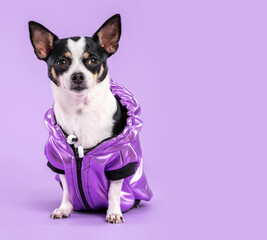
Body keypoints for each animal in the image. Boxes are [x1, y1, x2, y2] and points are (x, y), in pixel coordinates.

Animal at [28, 14, 153, 223]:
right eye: (62, 62)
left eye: (93, 60)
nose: (77, 76)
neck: (81, 111)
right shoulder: (60, 161)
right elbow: (67, 190)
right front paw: (64, 208)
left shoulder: (119, 162)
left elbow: (114, 192)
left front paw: (114, 212)